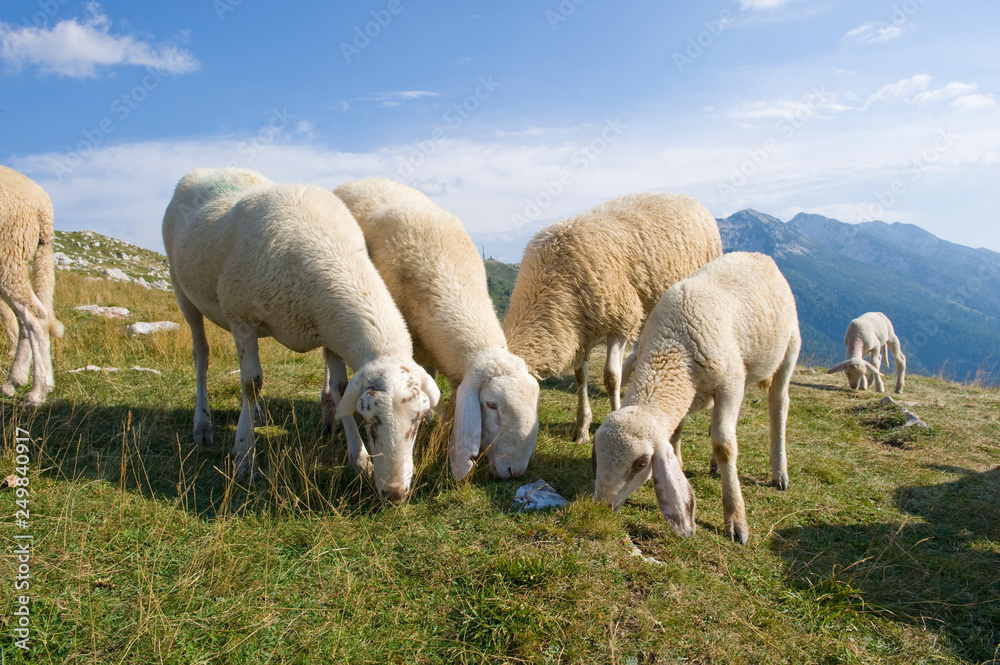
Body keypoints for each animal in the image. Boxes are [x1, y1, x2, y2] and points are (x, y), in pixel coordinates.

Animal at [0, 165, 65, 405]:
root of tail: (42, 201)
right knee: (24, 317)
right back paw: (14, 380)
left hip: (8, 254)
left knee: (34, 316)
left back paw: (39, 390)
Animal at [162, 167, 440, 501]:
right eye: (368, 419)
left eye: (420, 420)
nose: (395, 493)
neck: (328, 254)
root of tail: (207, 169)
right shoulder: (242, 318)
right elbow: (251, 383)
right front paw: (244, 457)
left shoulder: (331, 332)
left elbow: (339, 387)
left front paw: (358, 458)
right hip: (182, 289)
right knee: (202, 355)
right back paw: (203, 424)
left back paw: (256, 415)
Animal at [502, 193, 723, 444]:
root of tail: (689, 198)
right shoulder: (580, 330)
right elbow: (580, 377)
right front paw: (582, 428)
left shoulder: (621, 321)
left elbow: (611, 377)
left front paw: (616, 416)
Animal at [593, 252, 801, 545]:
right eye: (597, 453)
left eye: (642, 463)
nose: (600, 506)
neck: (673, 343)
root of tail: (759, 255)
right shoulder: (704, 387)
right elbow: (679, 428)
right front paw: (679, 462)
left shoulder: (728, 385)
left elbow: (725, 445)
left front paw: (736, 519)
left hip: (789, 345)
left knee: (779, 403)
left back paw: (779, 471)